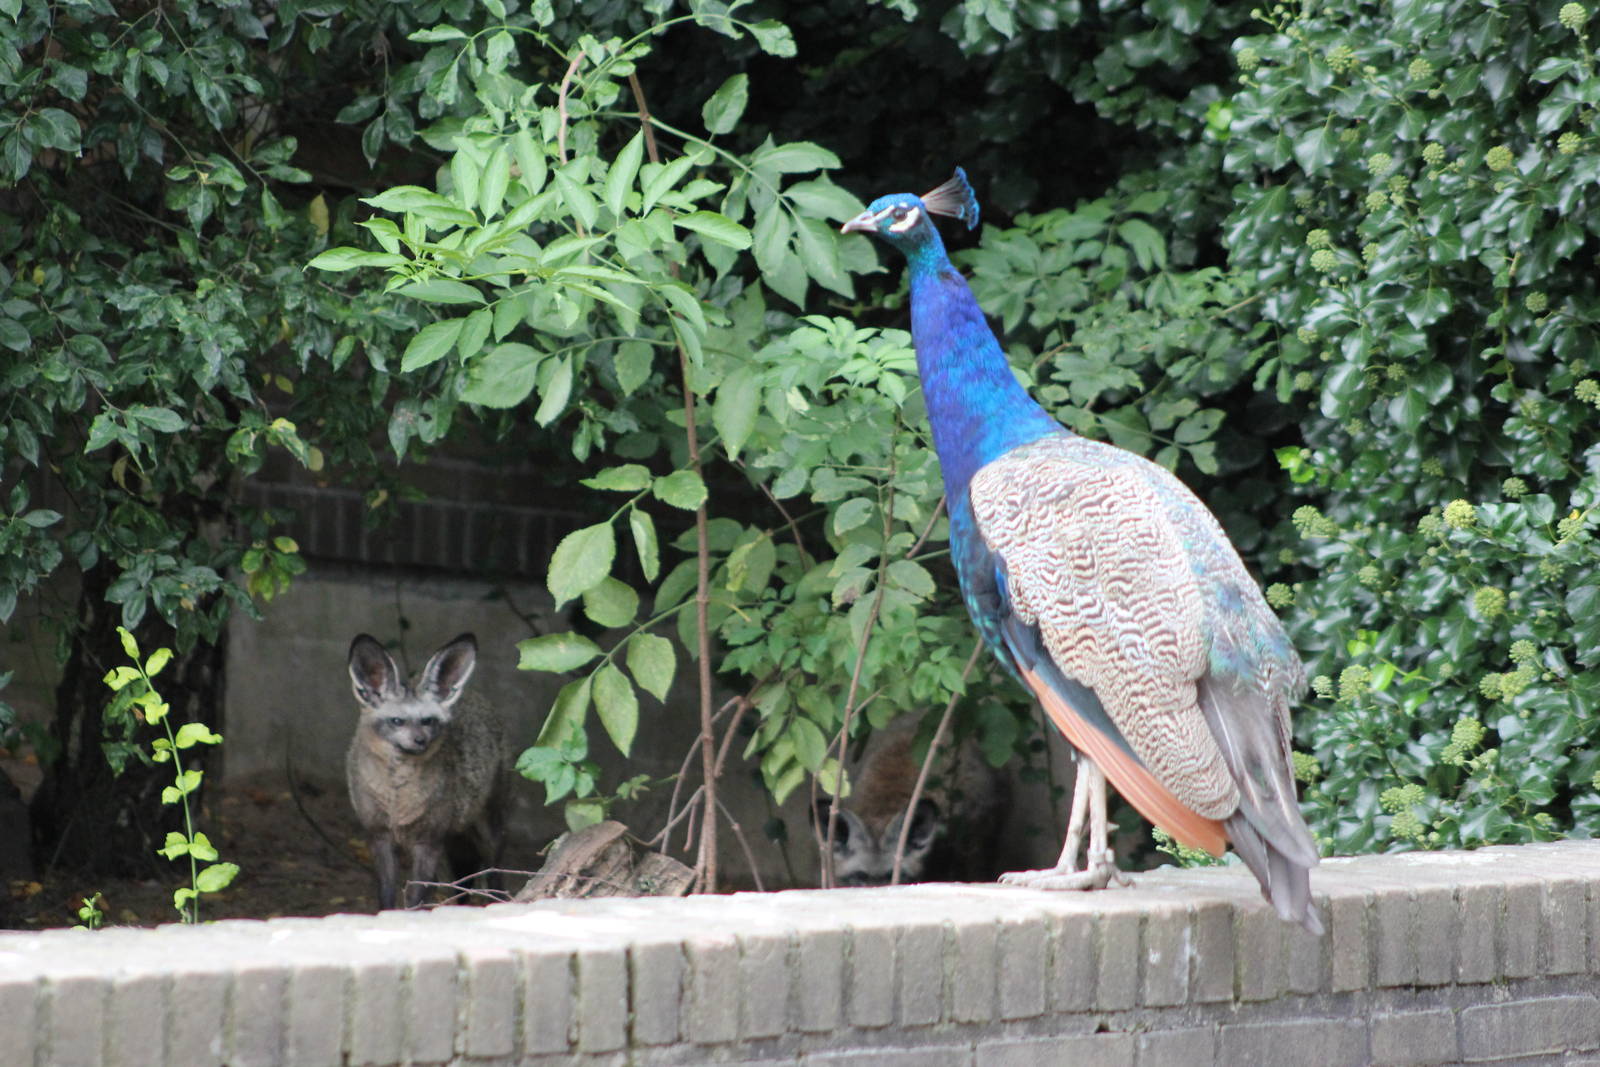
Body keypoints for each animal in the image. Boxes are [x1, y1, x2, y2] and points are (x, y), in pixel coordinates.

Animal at [345, 632, 509, 910]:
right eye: (397, 721)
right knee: (462, 883)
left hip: (487, 827)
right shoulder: (378, 835)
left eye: (428, 721)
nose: (421, 740)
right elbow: (386, 893)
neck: (397, 801)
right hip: (455, 842)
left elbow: (416, 896)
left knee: (493, 871)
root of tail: (475, 695)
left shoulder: (429, 840)